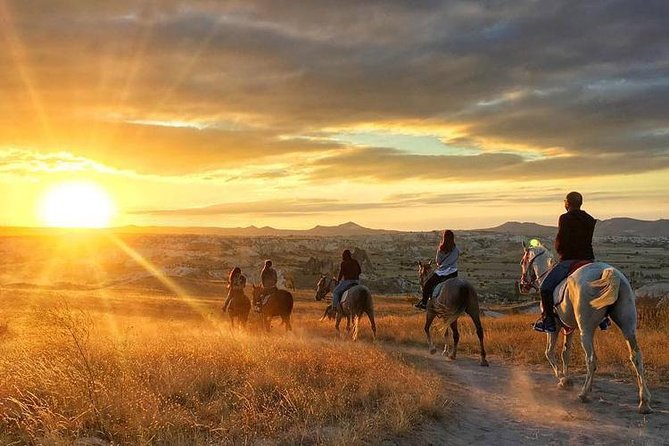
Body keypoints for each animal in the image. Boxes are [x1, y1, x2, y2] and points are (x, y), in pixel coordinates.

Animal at [516, 242, 652, 412]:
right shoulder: (569, 328)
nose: (522, 286)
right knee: (636, 356)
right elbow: (565, 353)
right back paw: (644, 401)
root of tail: (610, 272)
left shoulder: (555, 327)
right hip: (628, 326)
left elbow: (549, 352)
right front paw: (567, 379)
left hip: (586, 330)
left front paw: (563, 379)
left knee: (591, 359)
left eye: (522, 262)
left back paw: (584, 394)